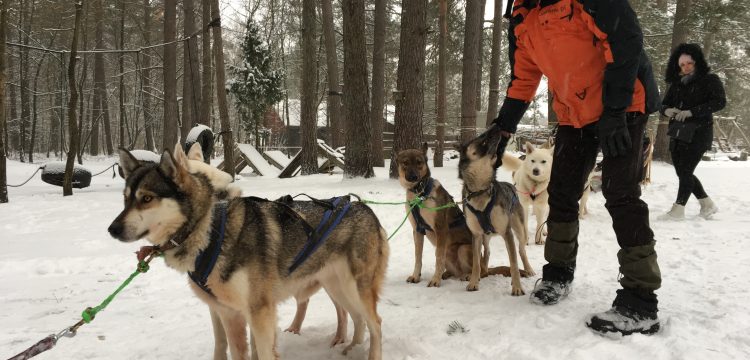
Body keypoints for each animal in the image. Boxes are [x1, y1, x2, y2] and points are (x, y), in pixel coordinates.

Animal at [113, 145, 394, 358]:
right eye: (125, 199)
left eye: (146, 198)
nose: (112, 229)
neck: (210, 229)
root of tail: (365, 208)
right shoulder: (226, 311)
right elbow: (227, 348)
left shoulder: (258, 312)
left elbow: (262, 351)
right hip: (337, 287)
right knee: (357, 318)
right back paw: (351, 348)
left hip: (354, 287)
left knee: (376, 323)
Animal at [458, 128, 536, 294]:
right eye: (482, 138)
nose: (497, 129)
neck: (480, 190)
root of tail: (511, 185)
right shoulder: (476, 235)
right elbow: (476, 262)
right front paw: (473, 281)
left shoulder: (507, 233)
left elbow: (513, 263)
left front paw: (517, 287)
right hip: (485, 237)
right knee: (487, 252)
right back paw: (483, 273)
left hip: (519, 230)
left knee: (521, 251)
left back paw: (528, 269)